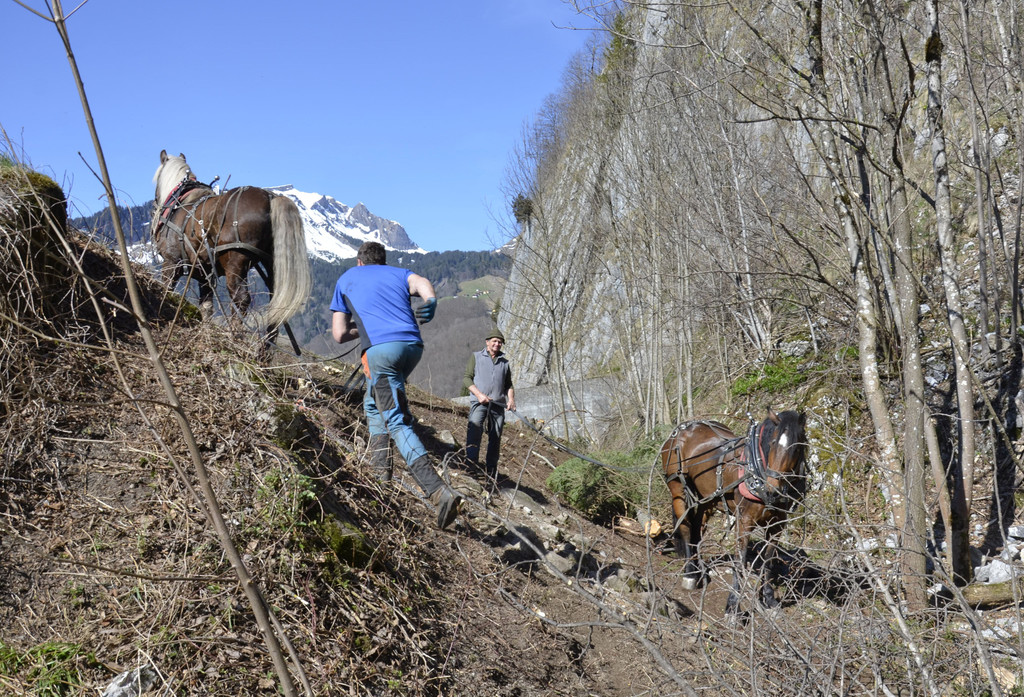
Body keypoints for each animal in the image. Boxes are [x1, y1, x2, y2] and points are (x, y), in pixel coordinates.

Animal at [151, 150, 311, 339]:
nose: (155, 205)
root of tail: (270, 197)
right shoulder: (205, 274)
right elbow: (206, 307)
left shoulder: (171, 262)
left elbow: (166, 290)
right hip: (273, 263)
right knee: (275, 305)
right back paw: (265, 346)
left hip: (235, 261)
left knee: (241, 299)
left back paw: (235, 335)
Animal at [660, 408, 807, 616]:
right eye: (772, 442)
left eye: (797, 447)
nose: (772, 489)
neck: (757, 471)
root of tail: (684, 428)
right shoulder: (744, 521)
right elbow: (740, 560)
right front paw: (732, 604)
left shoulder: (777, 525)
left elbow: (768, 561)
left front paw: (769, 599)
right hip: (678, 488)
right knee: (686, 527)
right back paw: (690, 573)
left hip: (709, 497)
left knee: (698, 527)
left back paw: (698, 570)